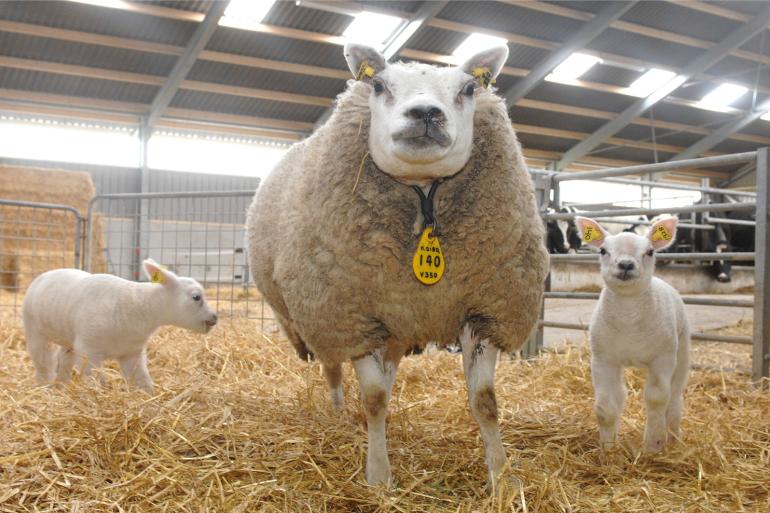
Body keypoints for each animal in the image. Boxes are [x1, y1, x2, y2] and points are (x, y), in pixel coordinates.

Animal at [21, 260, 216, 392]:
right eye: (196, 297)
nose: (214, 318)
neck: (139, 306)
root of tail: (44, 274)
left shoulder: (132, 353)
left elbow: (143, 381)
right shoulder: (89, 350)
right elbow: (97, 382)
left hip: (68, 338)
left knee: (64, 360)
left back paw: (62, 386)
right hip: (35, 332)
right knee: (44, 364)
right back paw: (44, 387)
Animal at [246, 42, 544, 486]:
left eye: (469, 88)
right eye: (379, 85)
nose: (426, 114)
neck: (423, 193)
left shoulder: (486, 311)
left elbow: (485, 401)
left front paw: (501, 476)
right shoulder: (353, 317)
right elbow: (373, 399)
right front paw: (379, 475)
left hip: (396, 323)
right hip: (322, 314)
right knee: (334, 369)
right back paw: (338, 411)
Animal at [572, 216, 688, 452]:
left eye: (650, 251)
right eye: (603, 250)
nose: (626, 264)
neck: (629, 319)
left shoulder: (663, 358)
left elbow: (657, 398)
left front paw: (653, 446)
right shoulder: (603, 359)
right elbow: (605, 407)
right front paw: (608, 450)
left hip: (682, 351)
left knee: (674, 399)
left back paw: (673, 437)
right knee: (621, 395)